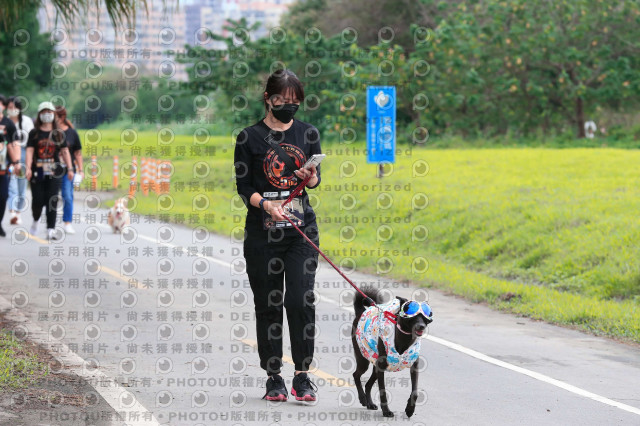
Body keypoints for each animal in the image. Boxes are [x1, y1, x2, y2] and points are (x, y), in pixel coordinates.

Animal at [352, 288, 432, 418]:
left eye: (425, 315)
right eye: (412, 315)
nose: (421, 326)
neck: (405, 338)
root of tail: (361, 312)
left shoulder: (414, 367)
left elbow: (415, 391)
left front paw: (410, 409)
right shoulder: (381, 369)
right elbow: (383, 392)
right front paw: (386, 411)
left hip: (376, 367)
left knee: (368, 384)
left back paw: (370, 403)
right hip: (363, 360)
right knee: (356, 375)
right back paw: (363, 399)